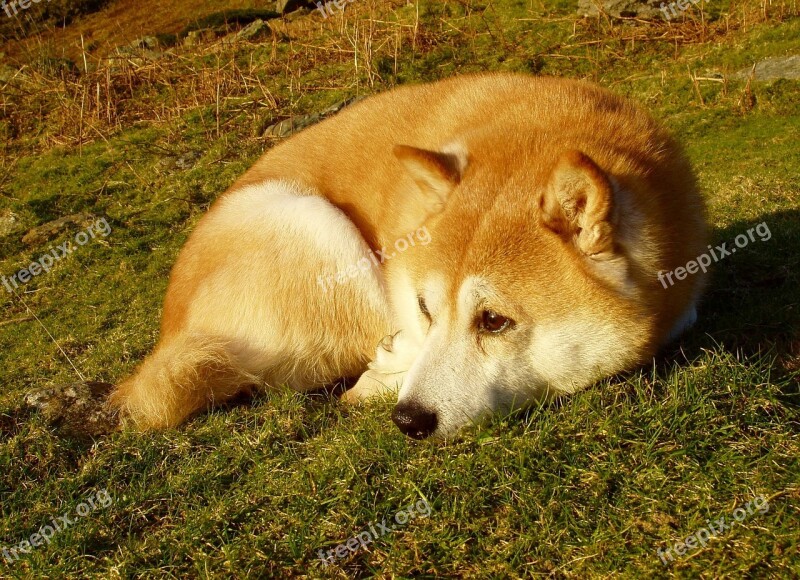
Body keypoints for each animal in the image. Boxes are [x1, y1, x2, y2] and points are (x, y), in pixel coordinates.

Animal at [108, 72, 708, 438]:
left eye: (494, 320)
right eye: (426, 308)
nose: (409, 420)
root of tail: (169, 334)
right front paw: (393, 366)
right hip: (318, 227)